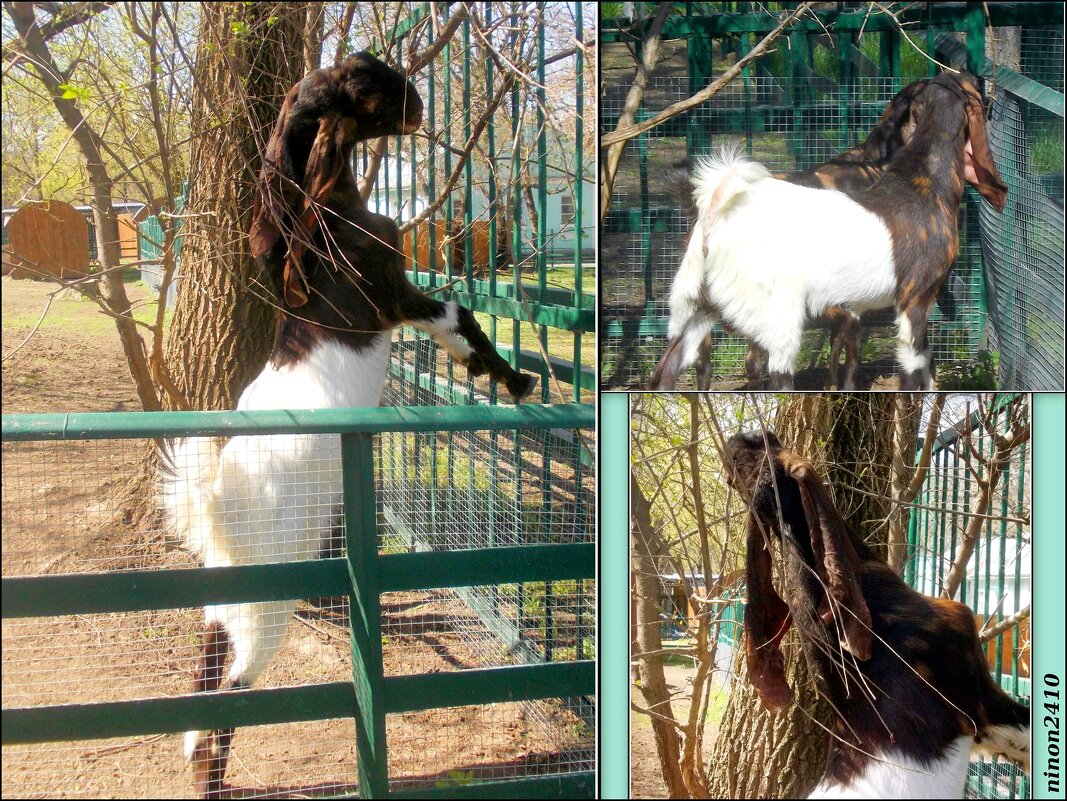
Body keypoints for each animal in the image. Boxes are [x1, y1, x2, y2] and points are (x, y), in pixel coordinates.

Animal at [161, 53, 537, 797]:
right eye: (361, 83)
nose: (417, 104)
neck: (327, 219)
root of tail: (217, 505)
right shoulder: (395, 292)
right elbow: (460, 321)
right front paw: (516, 381)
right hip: (262, 611)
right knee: (230, 695)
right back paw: (215, 783)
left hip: (223, 604)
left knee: (204, 680)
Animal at [648, 71, 1007, 392]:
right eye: (973, 82)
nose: (988, 83)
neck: (922, 181)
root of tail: (714, 210)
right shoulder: (914, 299)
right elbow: (912, 371)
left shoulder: (859, 309)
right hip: (778, 314)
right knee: (775, 375)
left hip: (695, 305)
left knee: (666, 371)